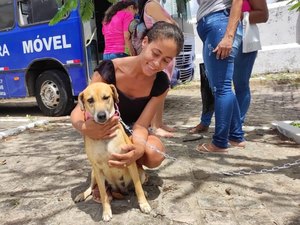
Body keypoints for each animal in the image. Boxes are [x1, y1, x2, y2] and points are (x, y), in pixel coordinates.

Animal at [74, 81, 151, 221]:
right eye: (90, 100)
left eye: (106, 97)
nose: (101, 116)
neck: (105, 138)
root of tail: (120, 190)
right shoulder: (97, 169)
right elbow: (103, 194)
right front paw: (106, 211)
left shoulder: (129, 161)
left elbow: (138, 188)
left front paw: (144, 204)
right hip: (94, 174)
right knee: (91, 188)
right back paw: (81, 195)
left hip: (142, 173)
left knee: (135, 186)